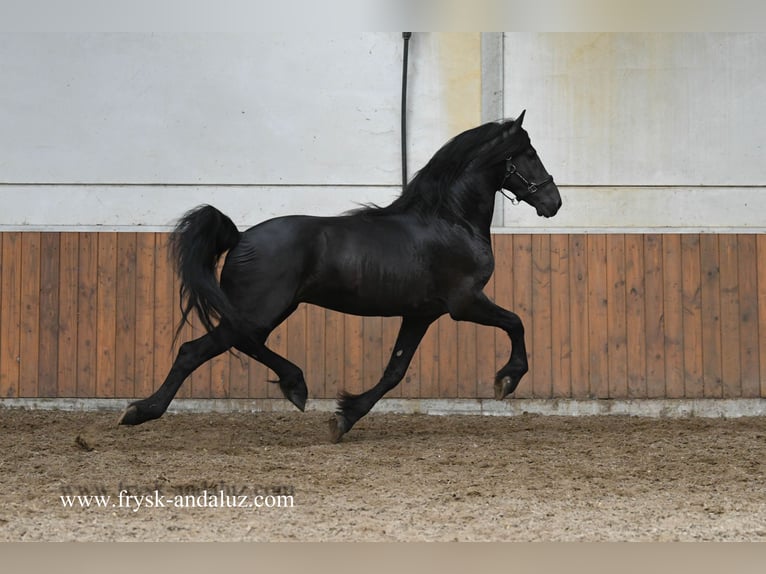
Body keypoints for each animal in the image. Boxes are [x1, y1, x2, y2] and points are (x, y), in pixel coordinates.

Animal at [118, 110, 562, 442]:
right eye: (529, 154)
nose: (554, 202)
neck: (449, 221)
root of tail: (240, 236)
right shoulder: (464, 302)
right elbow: (516, 323)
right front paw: (507, 380)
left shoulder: (421, 314)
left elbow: (394, 371)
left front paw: (344, 417)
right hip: (262, 309)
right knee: (197, 350)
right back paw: (141, 411)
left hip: (268, 310)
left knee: (243, 343)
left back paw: (294, 386)